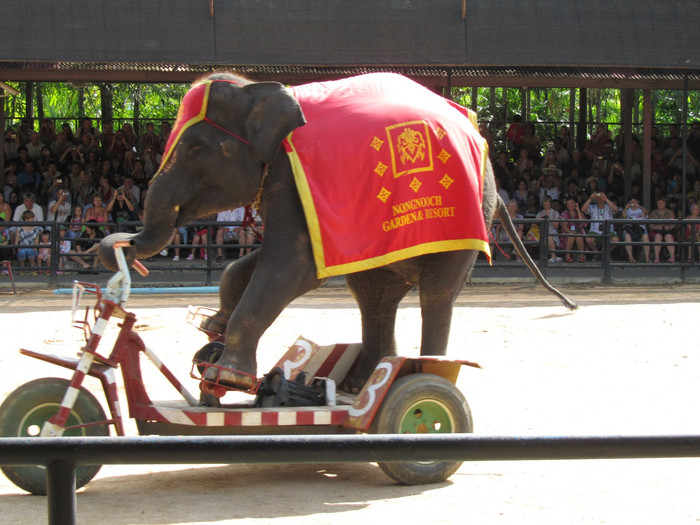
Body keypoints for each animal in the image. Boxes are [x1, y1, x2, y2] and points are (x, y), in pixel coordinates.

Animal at [98, 71, 576, 396]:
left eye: (195, 148)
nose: (119, 245)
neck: (261, 91)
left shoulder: (295, 182)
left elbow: (292, 267)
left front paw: (225, 374)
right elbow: (254, 265)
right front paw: (210, 336)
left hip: (465, 220)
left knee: (435, 295)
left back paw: (428, 372)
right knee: (373, 296)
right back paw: (359, 385)